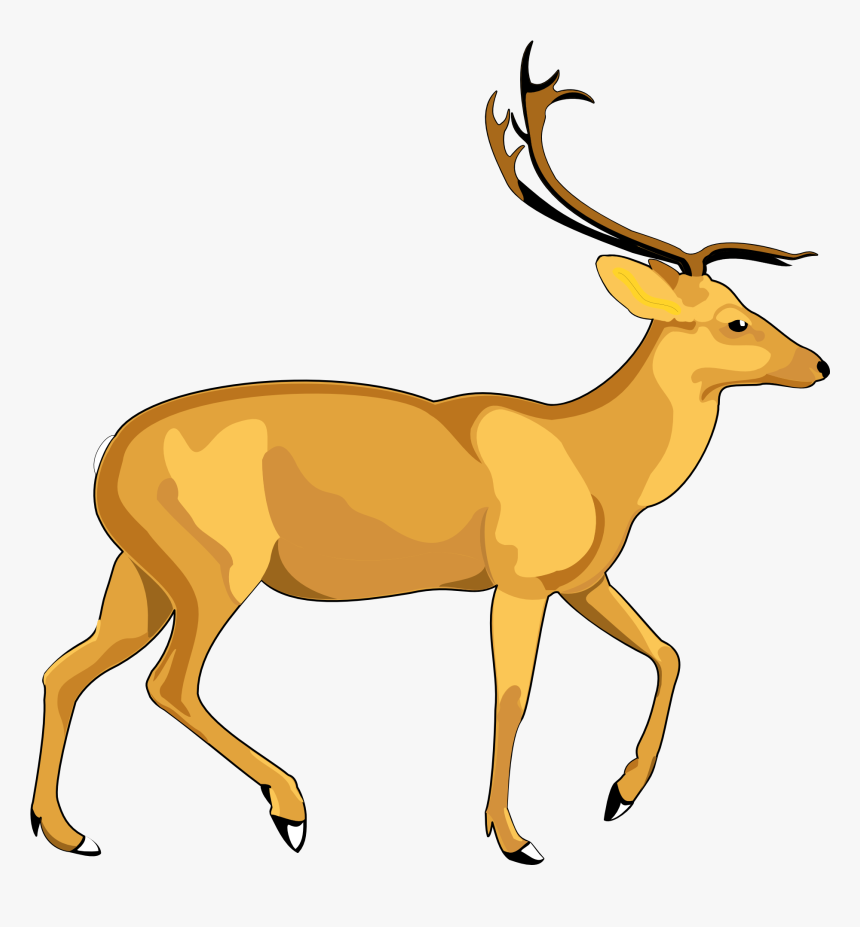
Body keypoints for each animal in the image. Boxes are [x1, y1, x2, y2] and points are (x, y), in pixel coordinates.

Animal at [31, 43, 828, 865]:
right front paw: (514, 838)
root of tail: (105, 464)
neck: (596, 460)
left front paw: (618, 796)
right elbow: (515, 694)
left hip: (142, 573)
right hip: (216, 568)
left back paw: (67, 831)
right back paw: (291, 808)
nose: (820, 365)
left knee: (66, 668)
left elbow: (667, 649)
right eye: (736, 320)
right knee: (168, 682)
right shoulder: (521, 579)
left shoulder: (582, 579)